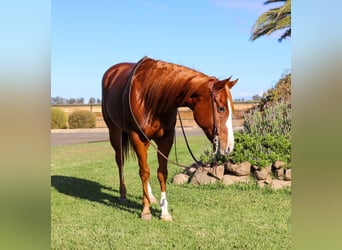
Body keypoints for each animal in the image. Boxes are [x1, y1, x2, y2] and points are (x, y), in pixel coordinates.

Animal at [100, 57, 236, 221]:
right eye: (221, 108)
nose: (229, 147)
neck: (151, 97)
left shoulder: (166, 138)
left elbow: (161, 172)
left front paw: (164, 211)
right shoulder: (137, 137)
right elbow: (144, 172)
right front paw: (146, 211)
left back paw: (150, 196)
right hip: (115, 132)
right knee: (121, 161)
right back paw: (123, 194)